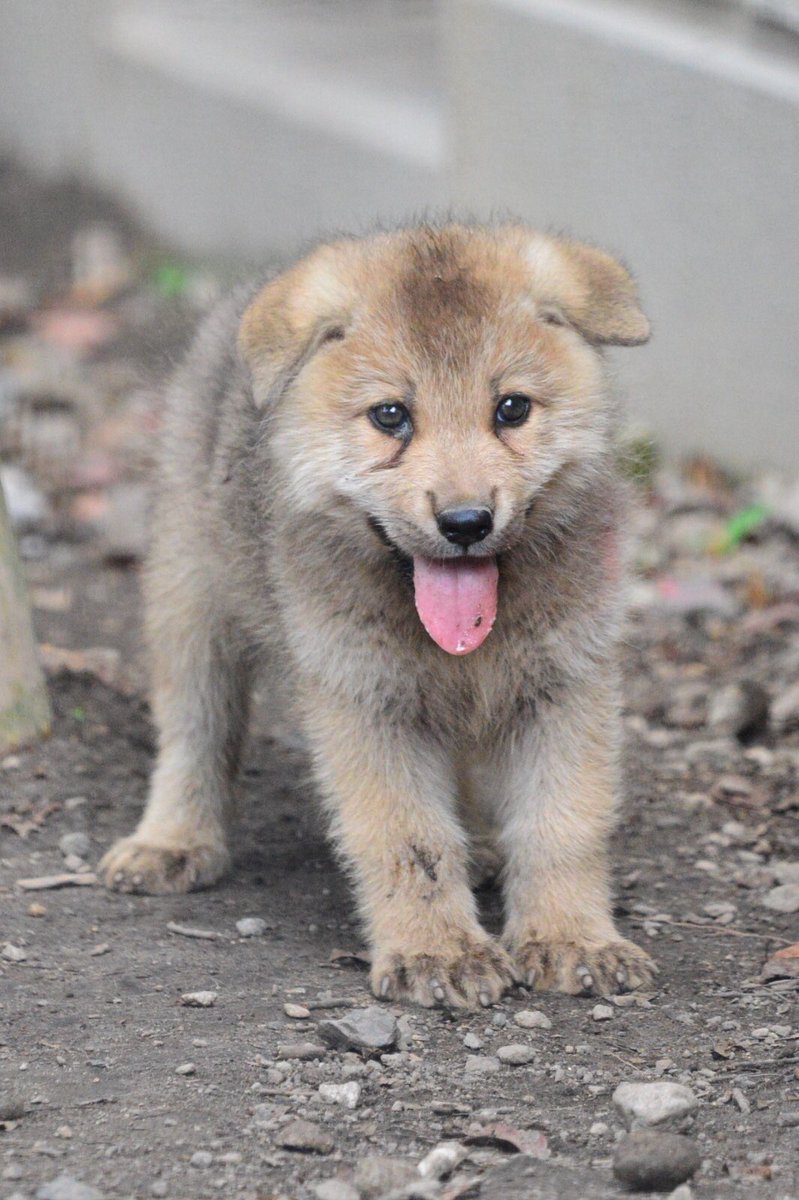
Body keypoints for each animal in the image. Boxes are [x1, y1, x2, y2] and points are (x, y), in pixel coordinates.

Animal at [102, 223, 657, 1003]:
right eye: (391, 416)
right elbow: (408, 841)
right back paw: (173, 839)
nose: (465, 522)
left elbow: (562, 824)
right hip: (191, 603)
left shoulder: (567, 685)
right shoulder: (366, 700)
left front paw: (570, 937)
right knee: (195, 732)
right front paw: (439, 950)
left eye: (511, 408)